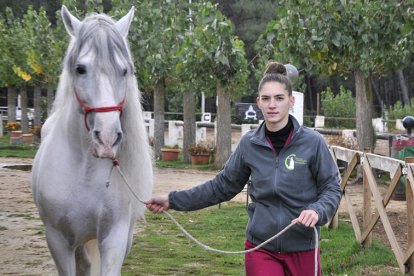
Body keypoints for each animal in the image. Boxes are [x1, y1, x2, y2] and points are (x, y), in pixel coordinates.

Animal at [31, 6, 153, 276]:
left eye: (124, 70)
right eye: (80, 69)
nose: (107, 138)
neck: (84, 171)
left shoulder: (115, 237)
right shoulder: (58, 240)